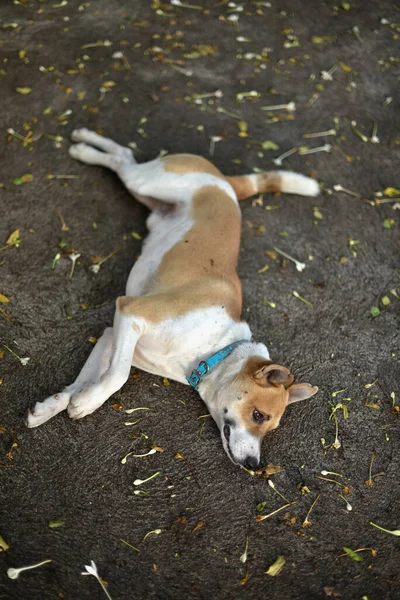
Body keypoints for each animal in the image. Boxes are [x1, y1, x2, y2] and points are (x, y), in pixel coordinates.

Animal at [25, 129, 318, 468]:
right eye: (258, 415)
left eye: (270, 428)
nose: (254, 465)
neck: (216, 349)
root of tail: (224, 181)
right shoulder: (131, 312)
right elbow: (117, 376)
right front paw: (85, 403)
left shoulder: (113, 334)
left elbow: (88, 379)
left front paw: (57, 404)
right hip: (146, 182)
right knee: (122, 160)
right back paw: (84, 147)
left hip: (147, 195)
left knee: (124, 156)